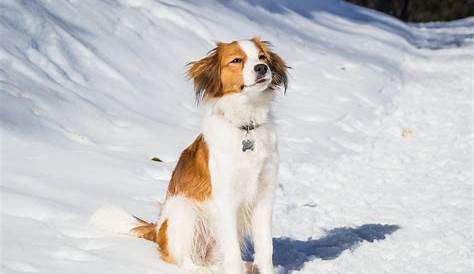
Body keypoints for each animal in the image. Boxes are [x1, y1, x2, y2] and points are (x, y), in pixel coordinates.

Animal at [95, 38, 286, 274]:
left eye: (262, 57)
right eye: (236, 60)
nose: (262, 68)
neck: (246, 127)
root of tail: (157, 231)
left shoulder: (264, 196)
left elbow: (266, 247)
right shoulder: (226, 199)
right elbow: (232, 251)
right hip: (184, 209)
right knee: (185, 260)